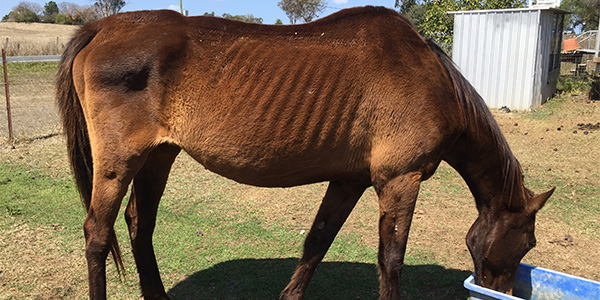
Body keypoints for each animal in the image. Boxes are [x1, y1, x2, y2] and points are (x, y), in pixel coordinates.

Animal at [56, 5, 552, 300]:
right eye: (527, 243)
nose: (500, 294)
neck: (432, 79)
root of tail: (103, 26)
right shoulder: (399, 180)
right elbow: (391, 261)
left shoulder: (350, 180)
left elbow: (317, 242)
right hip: (119, 162)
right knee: (98, 233)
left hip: (158, 156)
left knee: (139, 224)